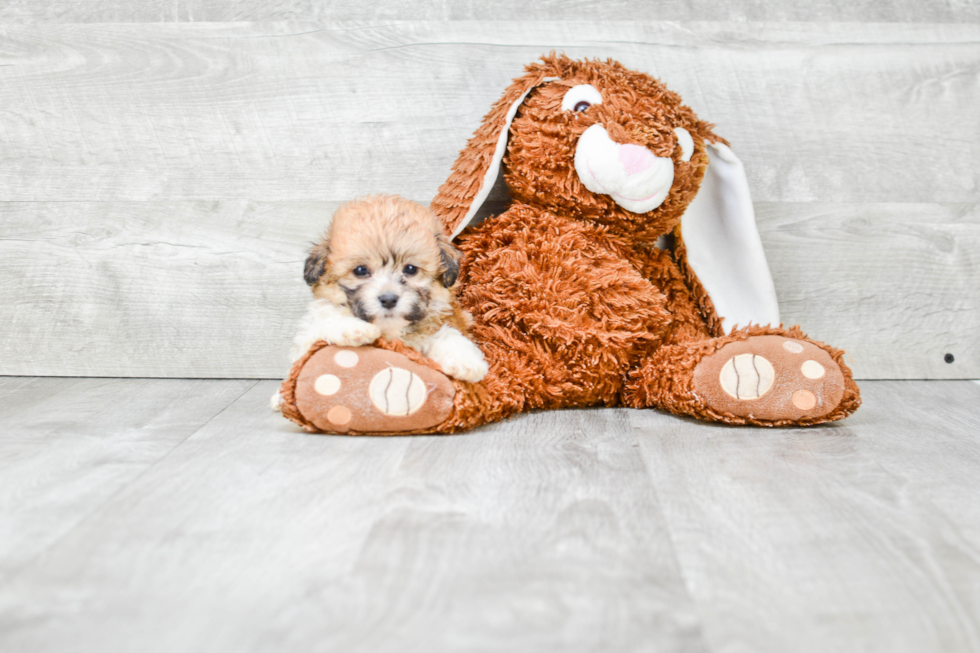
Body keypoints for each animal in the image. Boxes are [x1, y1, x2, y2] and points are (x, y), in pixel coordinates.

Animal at [290, 196, 490, 384]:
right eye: (360, 270)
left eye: (410, 269)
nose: (388, 299)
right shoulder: (307, 338)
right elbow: (326, 317)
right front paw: (355, 329)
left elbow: (448, 334)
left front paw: (467, 362)